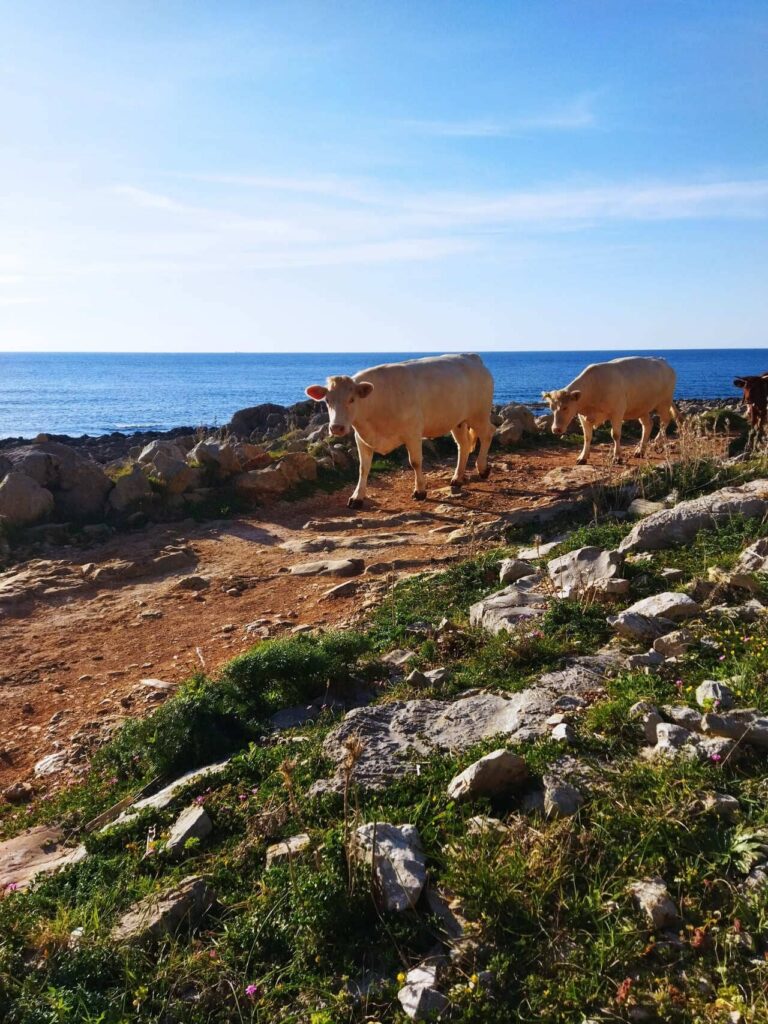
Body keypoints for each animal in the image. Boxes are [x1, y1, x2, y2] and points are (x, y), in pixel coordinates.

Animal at [305, 353, 495, 508]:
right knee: (463, 445)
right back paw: (457, 478)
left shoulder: (413, 432)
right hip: (458, 420)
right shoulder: (362, 438)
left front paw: (420, 491)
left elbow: (415, 462)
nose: (336, 427)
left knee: (488, 433)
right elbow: (363, 468)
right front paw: (357, 497)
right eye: (327, 400)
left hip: (479, 413)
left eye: (352, 399)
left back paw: (482, 469)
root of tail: (472, 357)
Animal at [542, 356, 679, 465]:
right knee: (648, 424)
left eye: (565, 407)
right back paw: (640, 450)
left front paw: (617, 457)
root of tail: (663, 361)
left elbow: (616, 434)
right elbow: (587, 437)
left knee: (664, 421)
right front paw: (583, 457)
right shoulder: (583, 416)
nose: (556, 429)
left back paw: (656, 443)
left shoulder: (617, 412)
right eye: (551, 408)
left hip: (664, 402)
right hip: (641, 407)